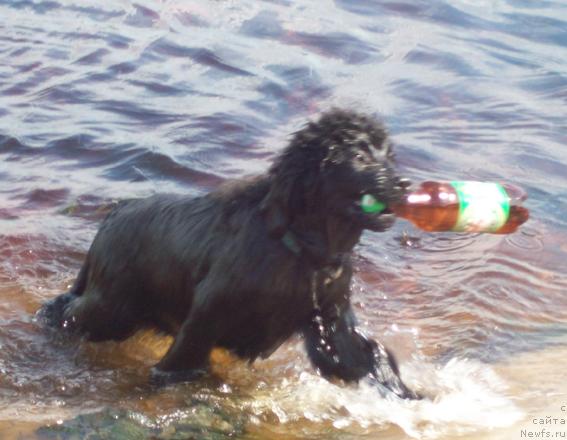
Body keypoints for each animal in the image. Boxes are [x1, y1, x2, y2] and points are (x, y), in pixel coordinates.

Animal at [40, 109, 420, 398]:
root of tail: (113, 215)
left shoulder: (328, 317)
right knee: (69, 309)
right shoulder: (209, 310)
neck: (299, 247)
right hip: (114, 307)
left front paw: (404, 391)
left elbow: (363, 356)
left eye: (388, 155)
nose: (404, 184)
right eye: (358, 156)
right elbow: (184, 359)